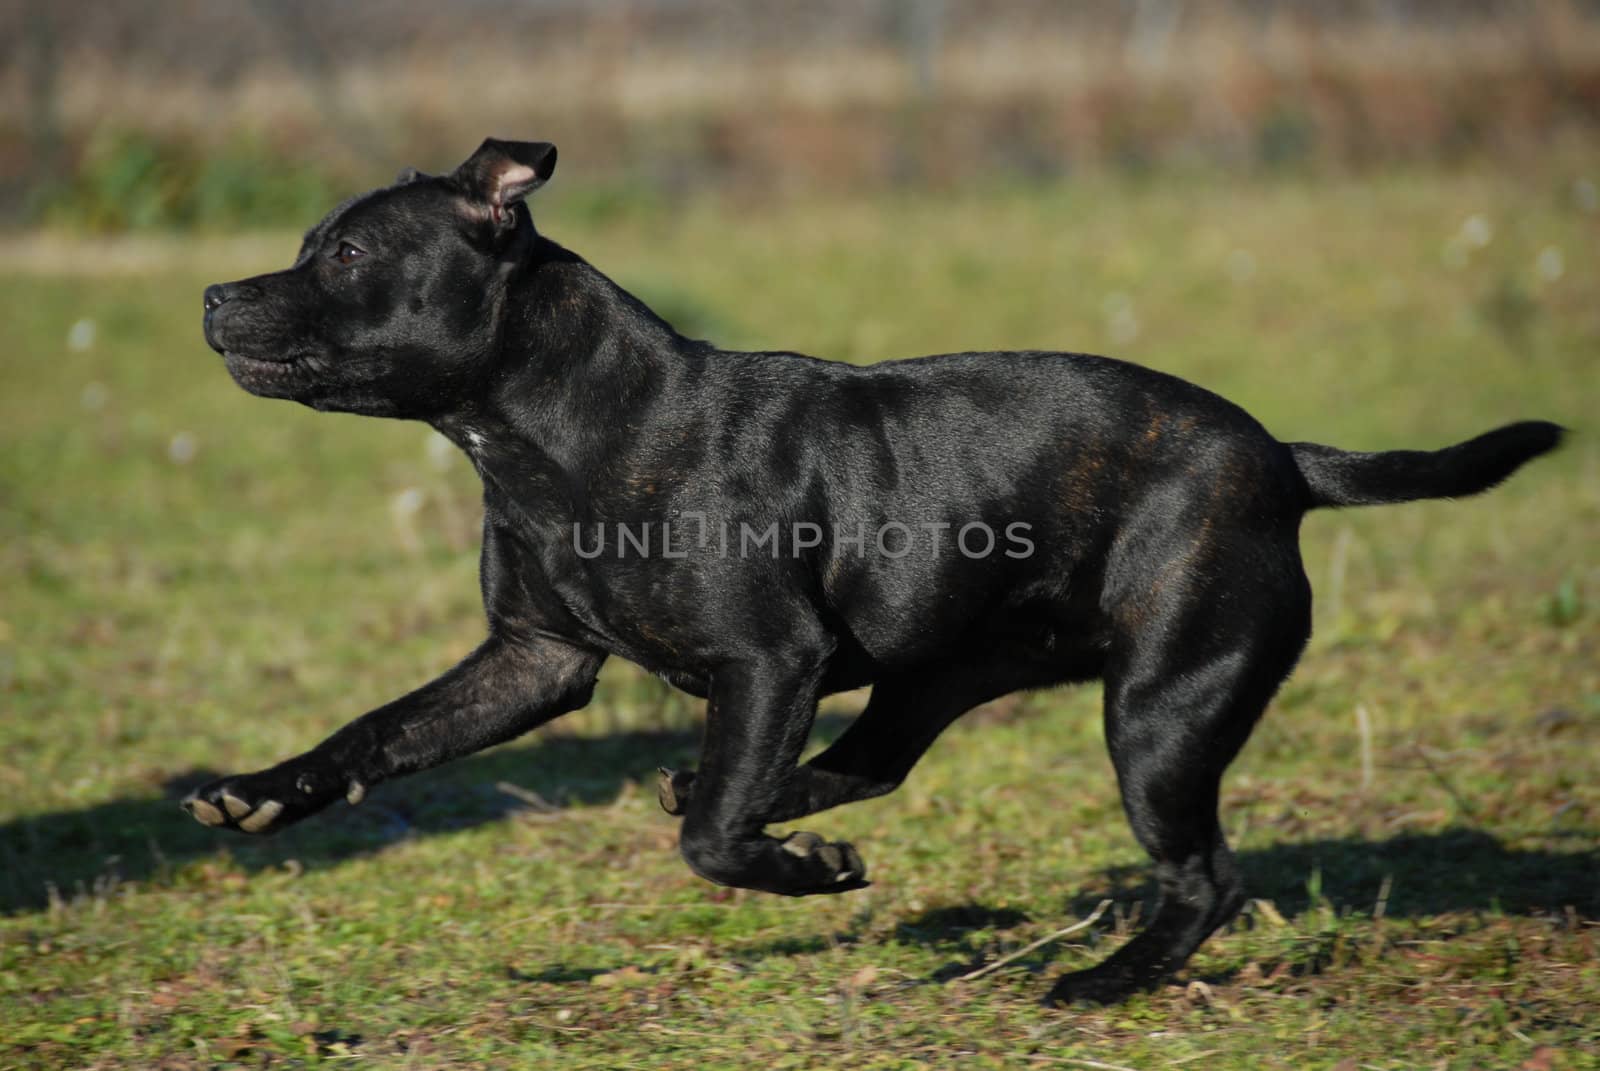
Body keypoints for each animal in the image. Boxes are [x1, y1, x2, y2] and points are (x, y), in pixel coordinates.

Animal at [190, 137, 1561, 998]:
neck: (562, 425)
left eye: (347, 259)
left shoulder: (767, 660)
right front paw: (264, 790)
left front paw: (793, 872)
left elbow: (714, 847)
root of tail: (1280, 461)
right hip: (942, 672)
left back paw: (1102, 983)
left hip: (1163, 711)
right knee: (868, 761)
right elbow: (381, 732)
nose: (211, 295)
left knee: (1204, 877)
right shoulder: (532, 660)